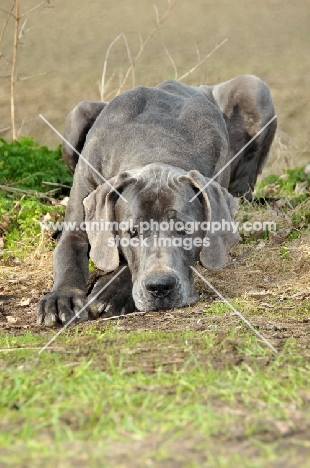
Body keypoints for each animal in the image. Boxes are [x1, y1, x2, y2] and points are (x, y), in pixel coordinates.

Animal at [36, 76, 276, 326]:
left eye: (184, 230)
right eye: (132, 232)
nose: (160, 287)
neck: (155, 140)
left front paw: (111, 291)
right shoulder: (79, 220)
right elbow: (68, 256)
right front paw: (62, 297)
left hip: (253, 88)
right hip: (79, 115)